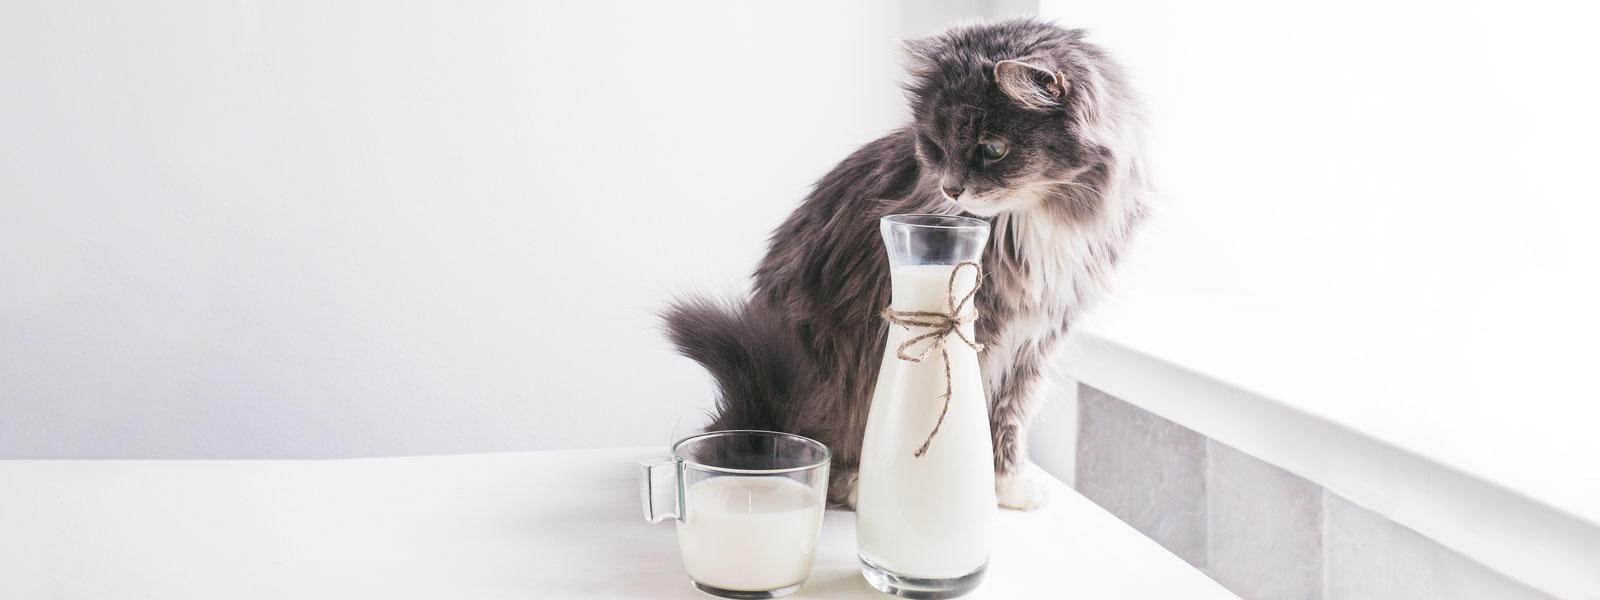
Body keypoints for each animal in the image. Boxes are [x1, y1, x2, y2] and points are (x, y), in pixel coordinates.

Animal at [665, 18, 1152, 508]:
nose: (951, 188)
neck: (1030, 220)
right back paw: (852, 483)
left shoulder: (1035, 340)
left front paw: (1006, 483)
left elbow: (1008, 413)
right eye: (936, 146)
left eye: (993, 149)